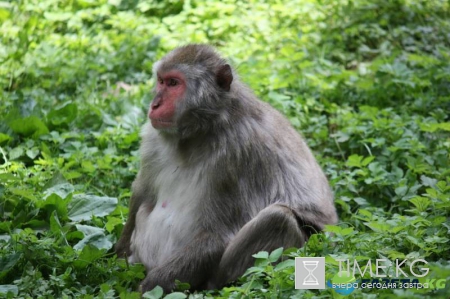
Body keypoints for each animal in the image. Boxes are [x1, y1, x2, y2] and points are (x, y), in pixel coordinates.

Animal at [116, 44, 338, 292]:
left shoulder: (238, 154)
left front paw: (146, 289)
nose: (154, 104)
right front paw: (114, 262)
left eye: (174, 83)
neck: (201, 132)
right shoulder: (153, 138)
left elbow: (218, 235)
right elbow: (142, 193)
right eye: (161, 81)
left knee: (278, 218)